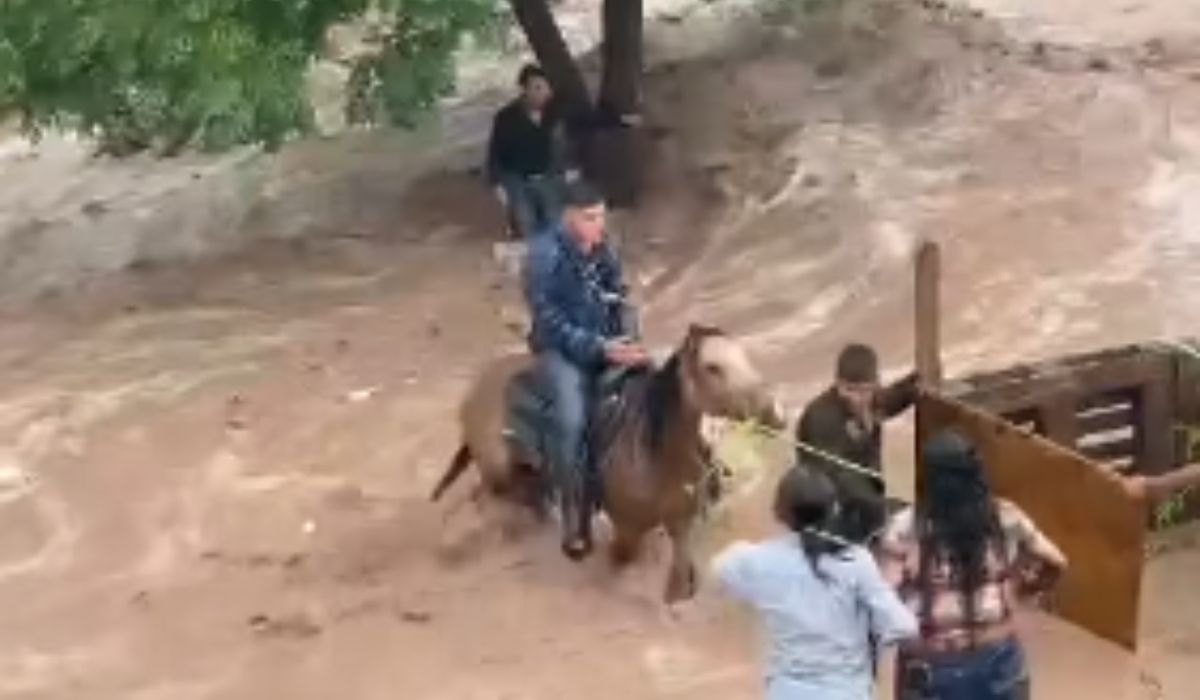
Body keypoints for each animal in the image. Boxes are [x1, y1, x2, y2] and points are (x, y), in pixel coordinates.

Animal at [432, 324, 787, 602]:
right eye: (712, 367)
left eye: (744, 356)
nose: (777, 412)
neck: (651, 452)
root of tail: (476, 389)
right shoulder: (628, 528)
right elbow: (621, 560)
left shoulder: (681, 520)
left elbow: (678, 575)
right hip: (500, 474)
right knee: (484, 499)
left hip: (522, 476)